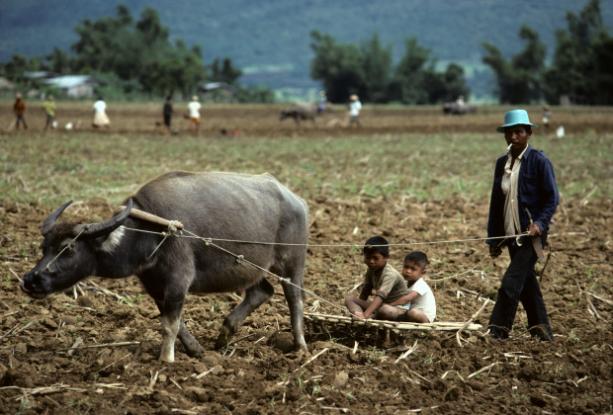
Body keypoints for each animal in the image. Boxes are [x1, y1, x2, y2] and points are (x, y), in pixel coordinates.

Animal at [21, 171, 308, 362]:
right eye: (44, 247)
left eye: (69, 248)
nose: (31, 280)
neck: (150, 231)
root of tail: (298, 201)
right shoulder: (156, 286)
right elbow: (174, 322)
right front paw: (195, 350)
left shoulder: (178, 280)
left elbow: (169, 325)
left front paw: (166, 360)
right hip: (253, 268)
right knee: (262, 291)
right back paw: (224, 334)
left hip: (292, 263)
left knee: (294, 298)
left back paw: (300, 345)